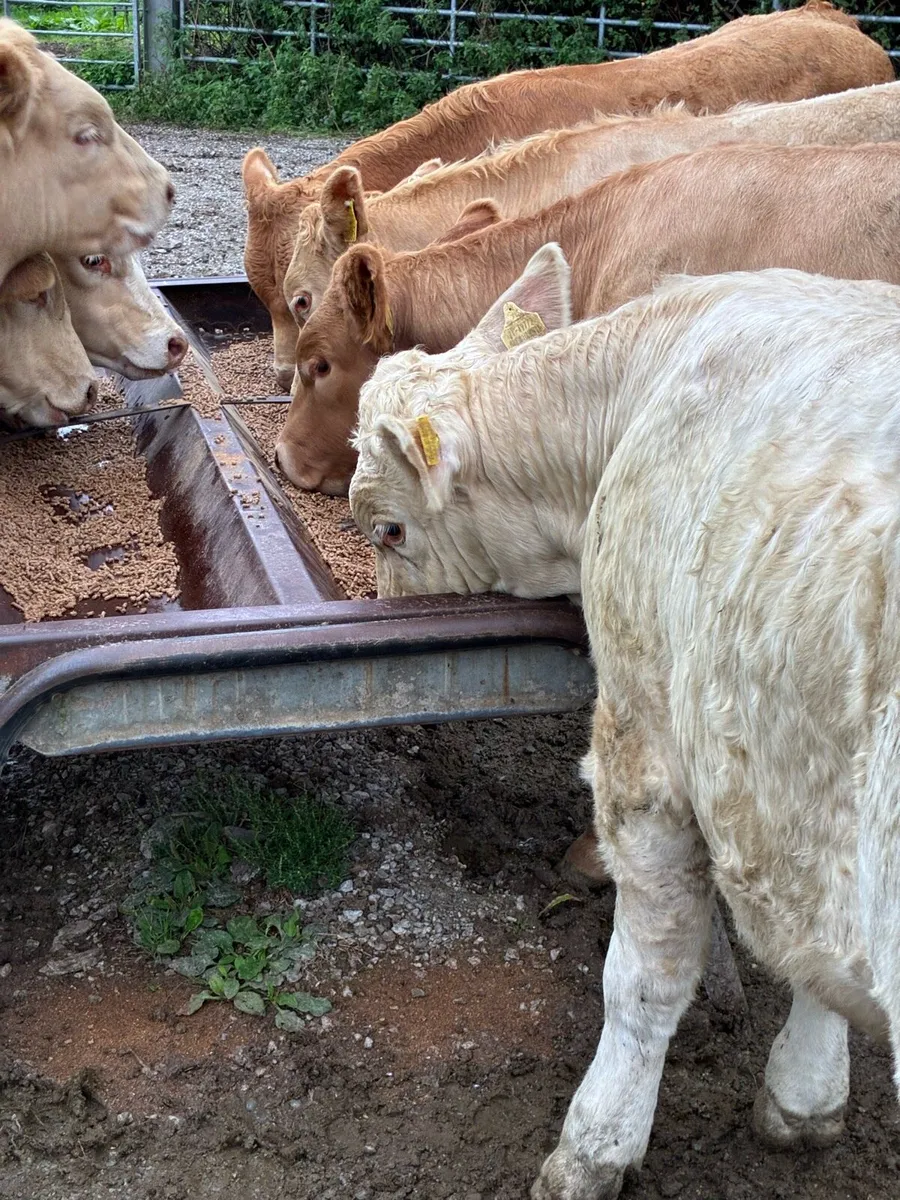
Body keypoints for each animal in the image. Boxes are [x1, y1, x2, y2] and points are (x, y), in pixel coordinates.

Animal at [349, 248, 900, 1199]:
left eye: (389, 529)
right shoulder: (794, 798)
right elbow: (808, 958)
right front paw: (806, 1096)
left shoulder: (647, 744)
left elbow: (644, 979)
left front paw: (593, 1146)